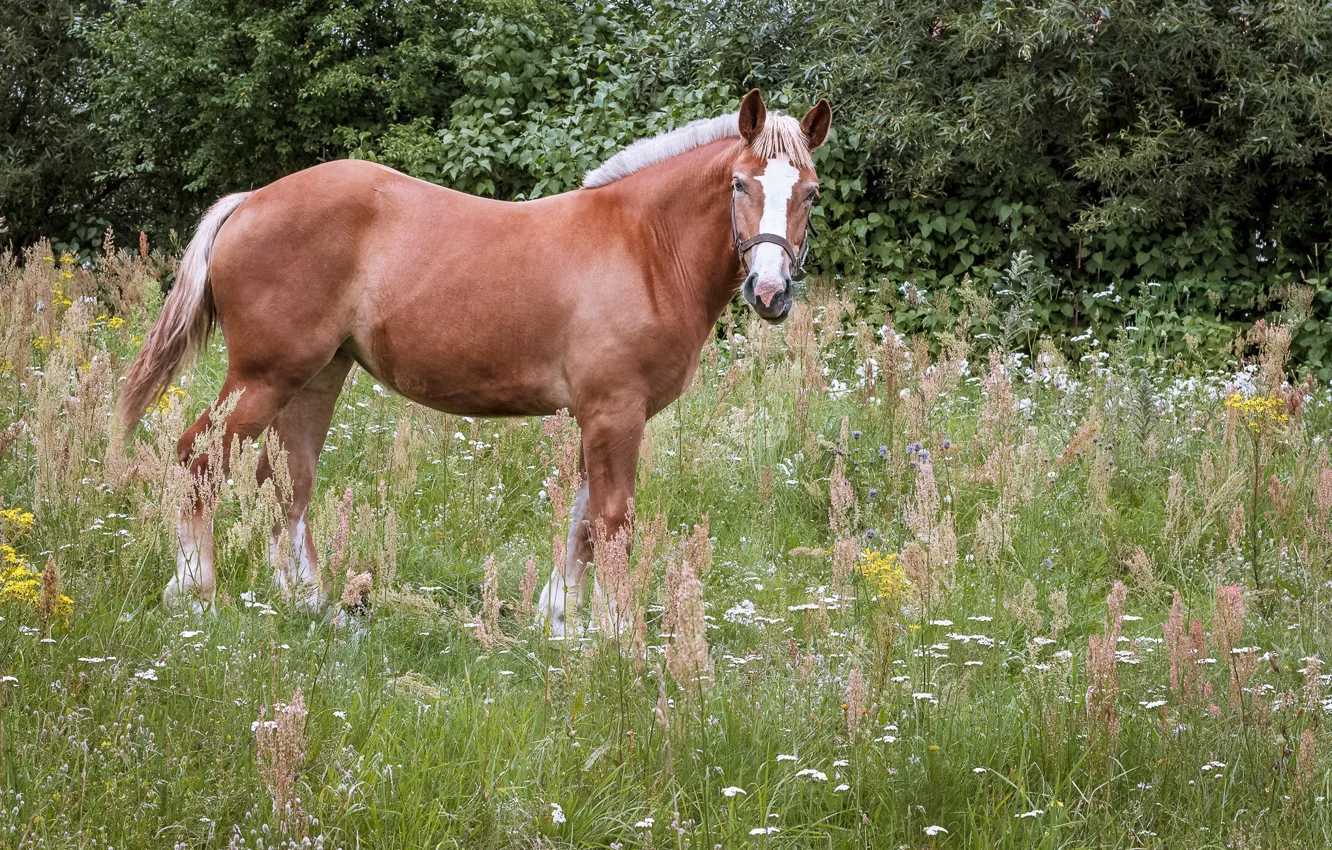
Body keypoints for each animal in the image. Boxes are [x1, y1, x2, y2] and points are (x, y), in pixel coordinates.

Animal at [122, 89, 831, 636]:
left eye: (812, 194)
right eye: (739, 183)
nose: (770, 292)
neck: (645, 246)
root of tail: (250, 200)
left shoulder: (595, 418)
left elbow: (579, 520)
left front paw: (560, 619)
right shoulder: (614, 413)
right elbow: (611, 520)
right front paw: (615, 633)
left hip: (315, 377)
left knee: (288, 478)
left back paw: (308, 599)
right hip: (263, 377)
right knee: (199, 459)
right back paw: (194, 591)